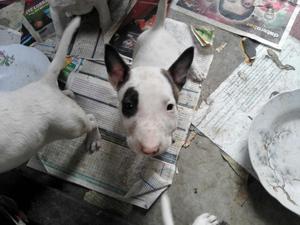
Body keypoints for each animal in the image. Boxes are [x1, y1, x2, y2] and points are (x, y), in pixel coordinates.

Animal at [0, 16, 101, 173]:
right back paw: (68, 93)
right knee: (69, 95)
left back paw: (94, 139)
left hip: (72, 126)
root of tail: (44, 82)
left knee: (91, 120)